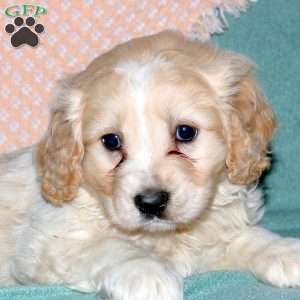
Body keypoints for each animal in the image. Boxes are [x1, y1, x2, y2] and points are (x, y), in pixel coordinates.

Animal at [0, 31, 300, 298]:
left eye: (185, 132)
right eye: (111, 141)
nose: (151, 202)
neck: (162, 237)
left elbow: (245, 236)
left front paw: (283, 250)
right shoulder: (48, 246)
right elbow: (109, 246)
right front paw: (146, 273)